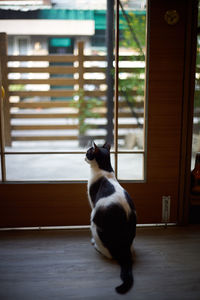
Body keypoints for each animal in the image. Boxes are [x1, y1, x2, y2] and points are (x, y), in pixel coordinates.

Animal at [85, 142, 137, 292]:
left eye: (88, 152)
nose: (84, 155)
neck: (105, 170)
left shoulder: (92, 203)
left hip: (94, 222)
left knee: (109, 254)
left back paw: (96, 246)